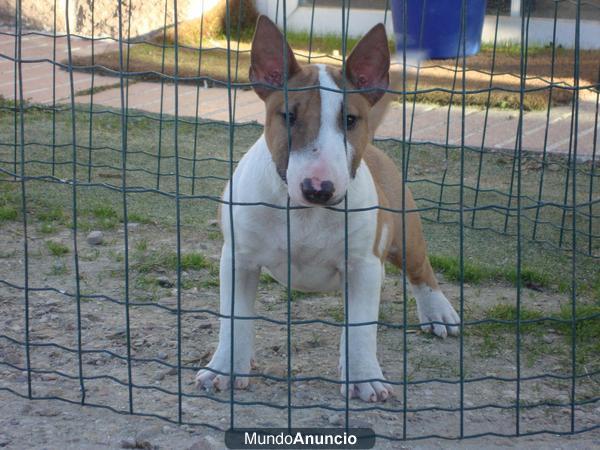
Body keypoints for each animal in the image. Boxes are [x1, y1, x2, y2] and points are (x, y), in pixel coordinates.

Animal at [197, 16, 460, 404]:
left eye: (350, 120)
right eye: (288, 116)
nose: (319, 189)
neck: (305, 214)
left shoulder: (363, 266)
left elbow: (361, 329)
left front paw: (365, 378)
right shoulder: (238, 260)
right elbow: (234, 319)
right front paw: (224, 369)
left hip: (405, 234)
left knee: (420, 270)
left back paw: (438, 312)